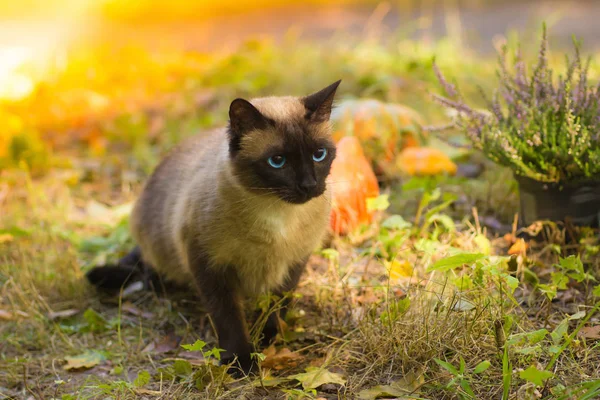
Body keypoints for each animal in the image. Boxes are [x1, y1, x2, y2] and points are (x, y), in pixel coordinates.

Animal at [88, 80, 342, 376]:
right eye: (277, 161)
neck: (278, 215)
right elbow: (228, 318)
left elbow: (276, 307)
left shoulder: (293, 262)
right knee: (149, 271)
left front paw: (269, 342)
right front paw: (241, 362)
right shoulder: (210, 265)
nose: (308, 186)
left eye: (319, 155)